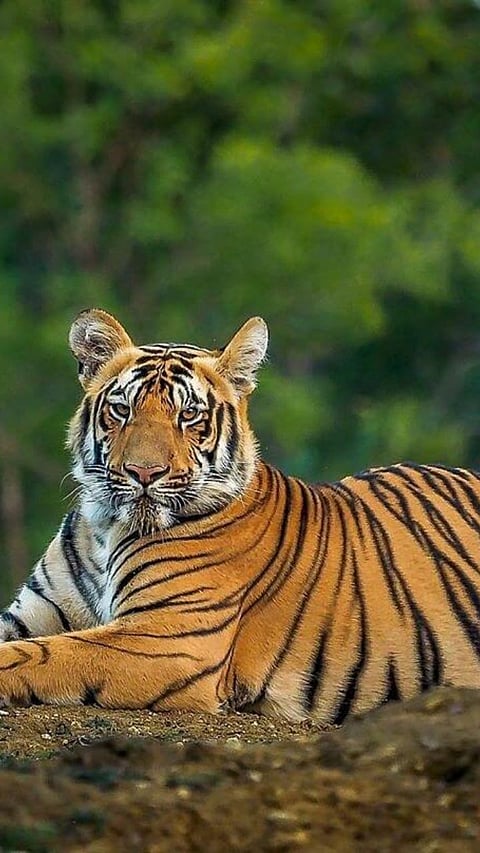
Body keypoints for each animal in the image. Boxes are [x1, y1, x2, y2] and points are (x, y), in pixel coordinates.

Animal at [0, 308, 480, 725]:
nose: (144, 472)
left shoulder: (166, 639)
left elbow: (46, 653)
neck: (106, 526)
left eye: (188, 415)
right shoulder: (33, 614)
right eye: (122, 410)